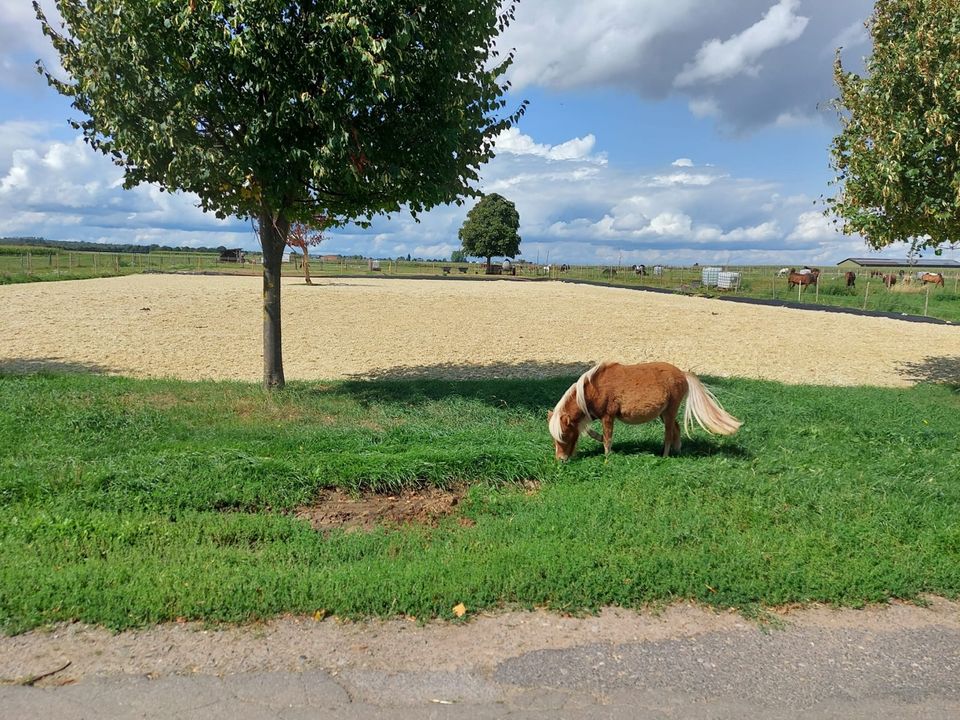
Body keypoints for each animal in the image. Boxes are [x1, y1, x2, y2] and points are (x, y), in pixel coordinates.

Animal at [548, 360, 744, 462]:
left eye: (563, 435)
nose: (560, 459)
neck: (593, 388)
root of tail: (683, 374)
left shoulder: (608, 416)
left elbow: (608, 438)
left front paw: (607, 457)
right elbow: (591, 431)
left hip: (669, 412)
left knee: (669, 433)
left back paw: (665, 455)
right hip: (664, 414)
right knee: (677, 428)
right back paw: (678, 450)